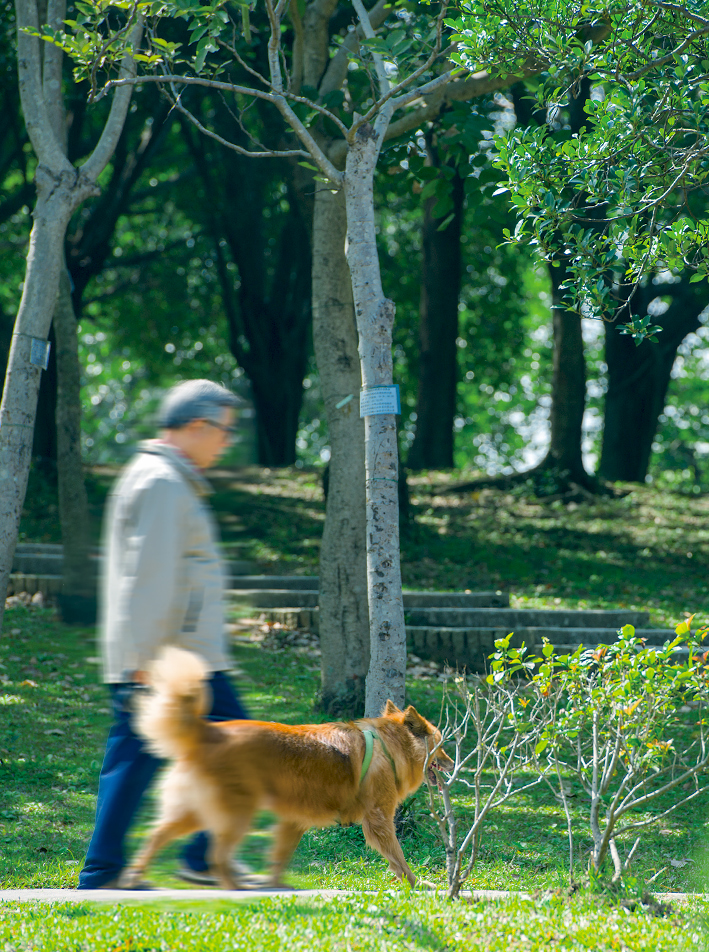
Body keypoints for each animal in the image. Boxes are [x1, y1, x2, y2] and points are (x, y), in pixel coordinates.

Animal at [120, 644, 454, 888]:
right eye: (441, 744)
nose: (453, 764)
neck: (388, 746)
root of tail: (208, 732)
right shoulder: (379, 820)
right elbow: (399, 859)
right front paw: (417, 884)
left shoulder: (293, 820)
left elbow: (279, 858)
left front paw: (275, 886)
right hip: (237, 814)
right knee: (216, 855)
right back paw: (234, 889)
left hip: (197, 812)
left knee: (158, 835)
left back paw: (135, 876)